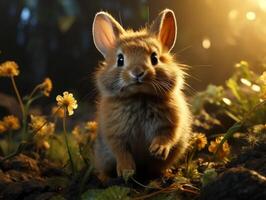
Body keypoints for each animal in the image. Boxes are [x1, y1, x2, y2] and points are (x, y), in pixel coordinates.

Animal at [91, 8, 191, 180]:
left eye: (155, 58)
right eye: (120, 59)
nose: (137, 73)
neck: (139, 96)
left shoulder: (170, 124)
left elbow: (167, 137)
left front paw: (157, 150)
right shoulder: (114, 134)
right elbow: (120, 151)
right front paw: (126, 171)